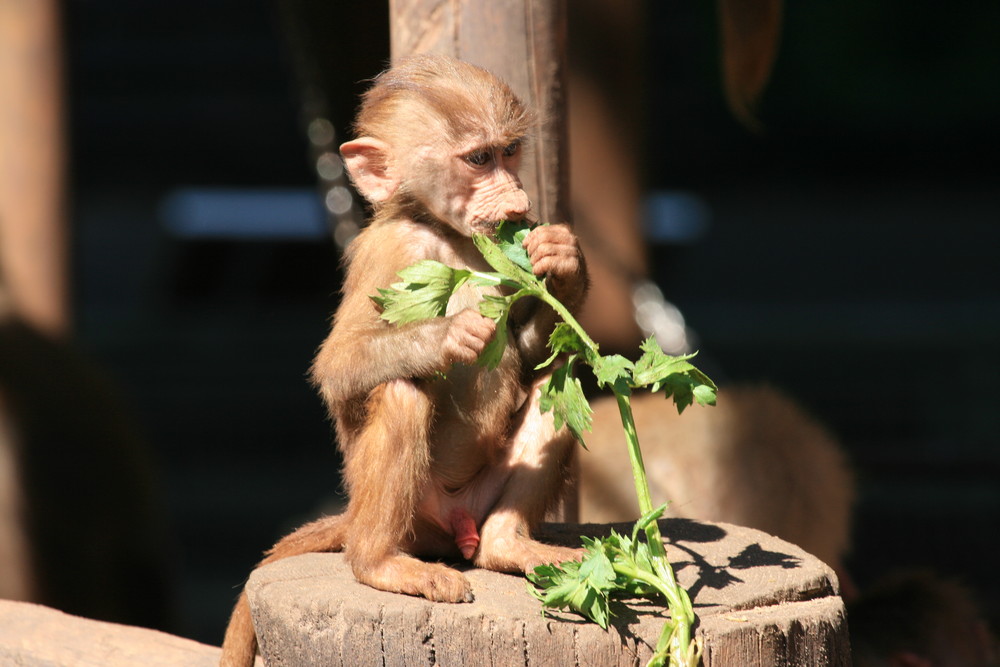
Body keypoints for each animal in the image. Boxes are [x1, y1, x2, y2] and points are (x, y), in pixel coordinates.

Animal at [221, 56, 584, 667]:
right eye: (478, 159)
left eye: (510, 151)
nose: (517, 200)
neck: (443, 234)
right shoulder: (388, 251)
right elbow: (338, 364)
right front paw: (452, 333)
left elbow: (537, 353)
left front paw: (563, 264)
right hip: (416, 521)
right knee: (400, 390)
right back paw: (379, 564)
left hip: (477, 504)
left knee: (556, 385)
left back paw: (508, 547)